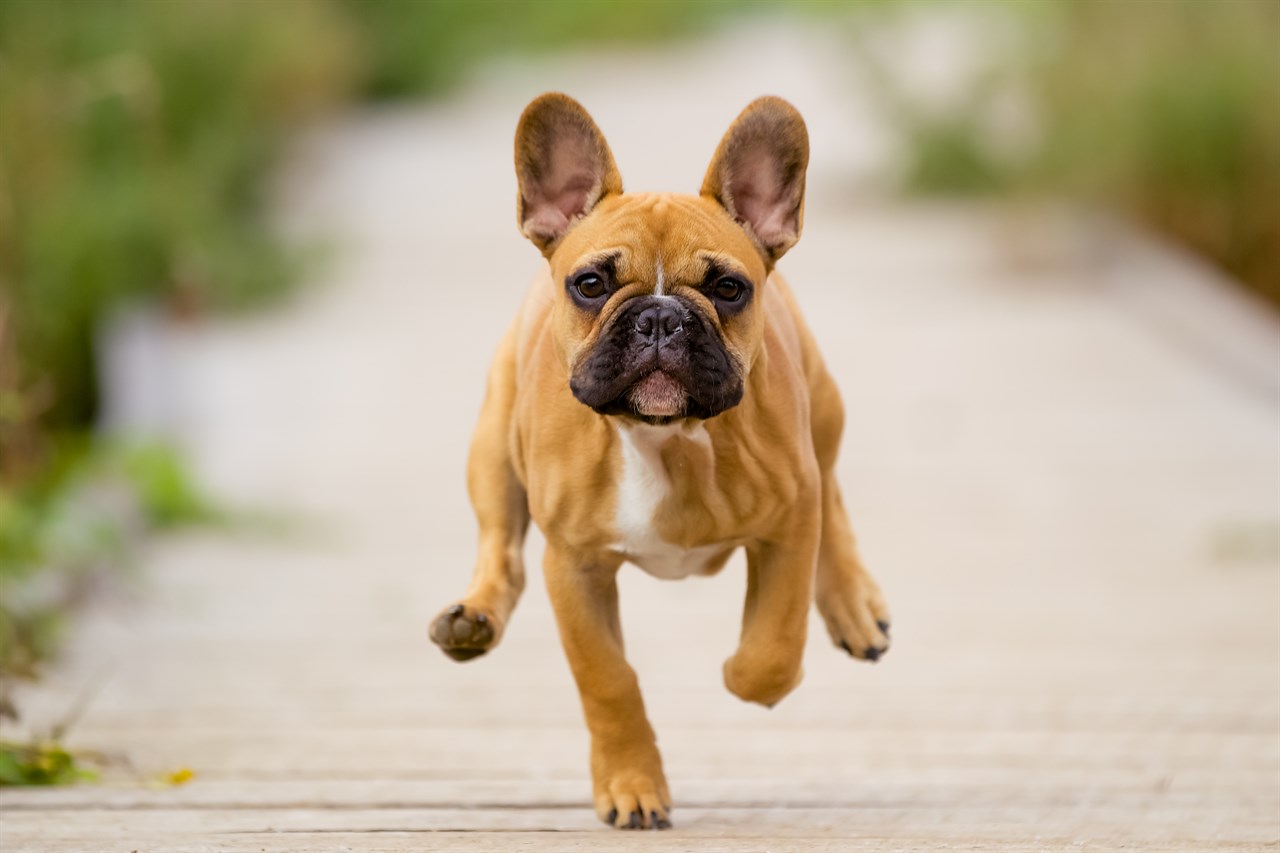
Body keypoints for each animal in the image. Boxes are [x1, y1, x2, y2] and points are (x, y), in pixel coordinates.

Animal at [430, 94, 890, 829]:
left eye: (728, 288)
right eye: (591, 283)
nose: (661, 317)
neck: (664, 439)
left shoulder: (790, 523)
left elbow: (772, 646)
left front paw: (752, 677)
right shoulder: (574, 566)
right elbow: (608, 678)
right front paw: (631, 783)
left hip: (824, 408)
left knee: (835, 496)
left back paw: (853, 605)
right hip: (492, 449)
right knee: (500, 551)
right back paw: (471, 620)